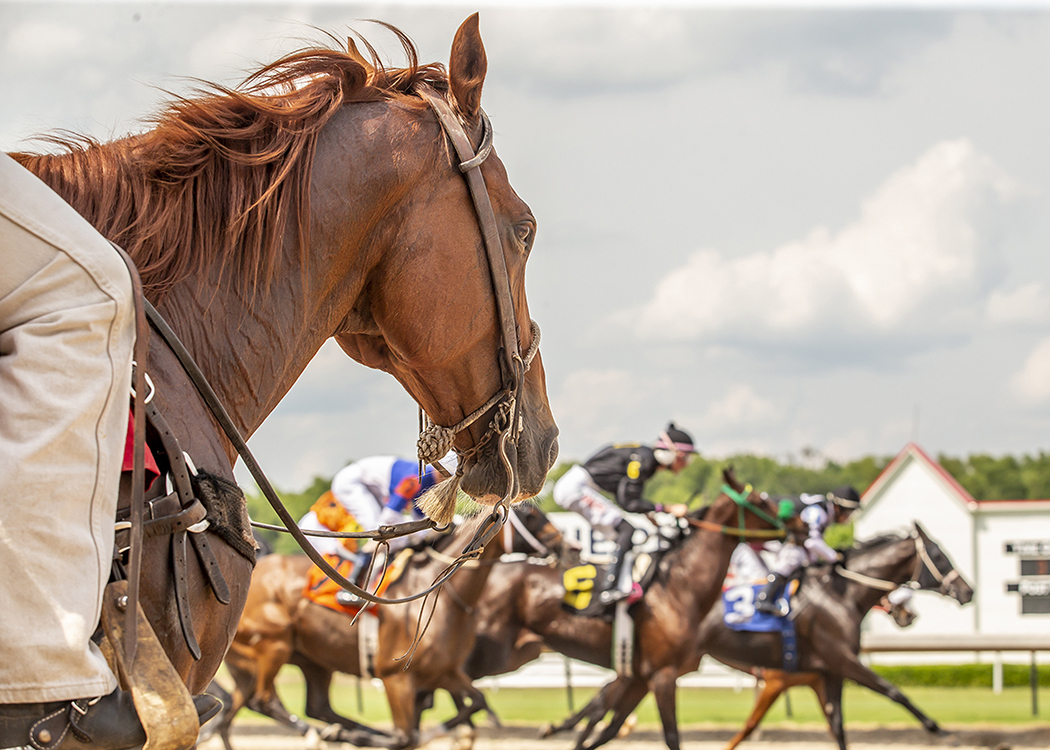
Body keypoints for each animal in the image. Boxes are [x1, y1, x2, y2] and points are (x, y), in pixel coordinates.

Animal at [213, 502, 567, 747]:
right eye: (531, 515)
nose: (568, 546)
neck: (443, 593)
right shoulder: (395, 678)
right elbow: (406, 735)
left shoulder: (445, 671)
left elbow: (476, 702)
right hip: (272, 646)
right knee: (265, 701)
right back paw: (324, 735)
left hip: (309, 661)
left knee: (309, 707)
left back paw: (346, 732)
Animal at [550, 523, 974, 747]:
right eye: (939, 556)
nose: (967, 591)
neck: (841, 595)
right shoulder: (839, 660)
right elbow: (893, 691)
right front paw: (937, 727)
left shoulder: (825, 675)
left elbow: (837, 727)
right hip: (664, 664)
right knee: (606, 701)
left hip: (658, 664)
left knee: (607, 699)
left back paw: (567, 727)